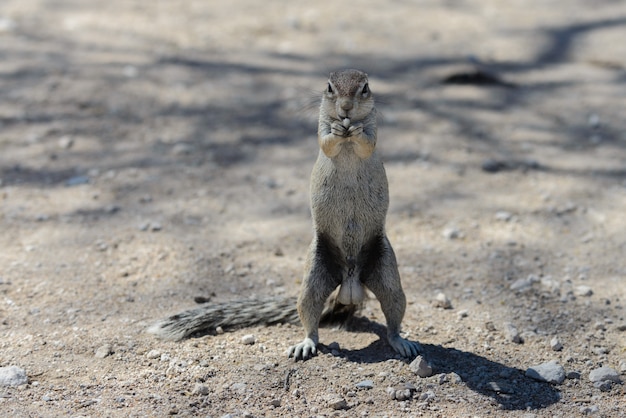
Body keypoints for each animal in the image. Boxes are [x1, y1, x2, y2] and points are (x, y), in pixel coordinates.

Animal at [147, 69, 420, 362]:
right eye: (329, 87)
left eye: (365, 88)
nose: (346, 108)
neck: (347, 132)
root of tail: (350, 281)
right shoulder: (321, 127)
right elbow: (327, 142)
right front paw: (338, 130)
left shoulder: (372, 128)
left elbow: (367, 142)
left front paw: (355, 130)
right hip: (313, 278)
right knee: (310, 319)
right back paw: (306, 344)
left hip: (387, 274)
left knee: (393, 315)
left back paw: (402, 342)